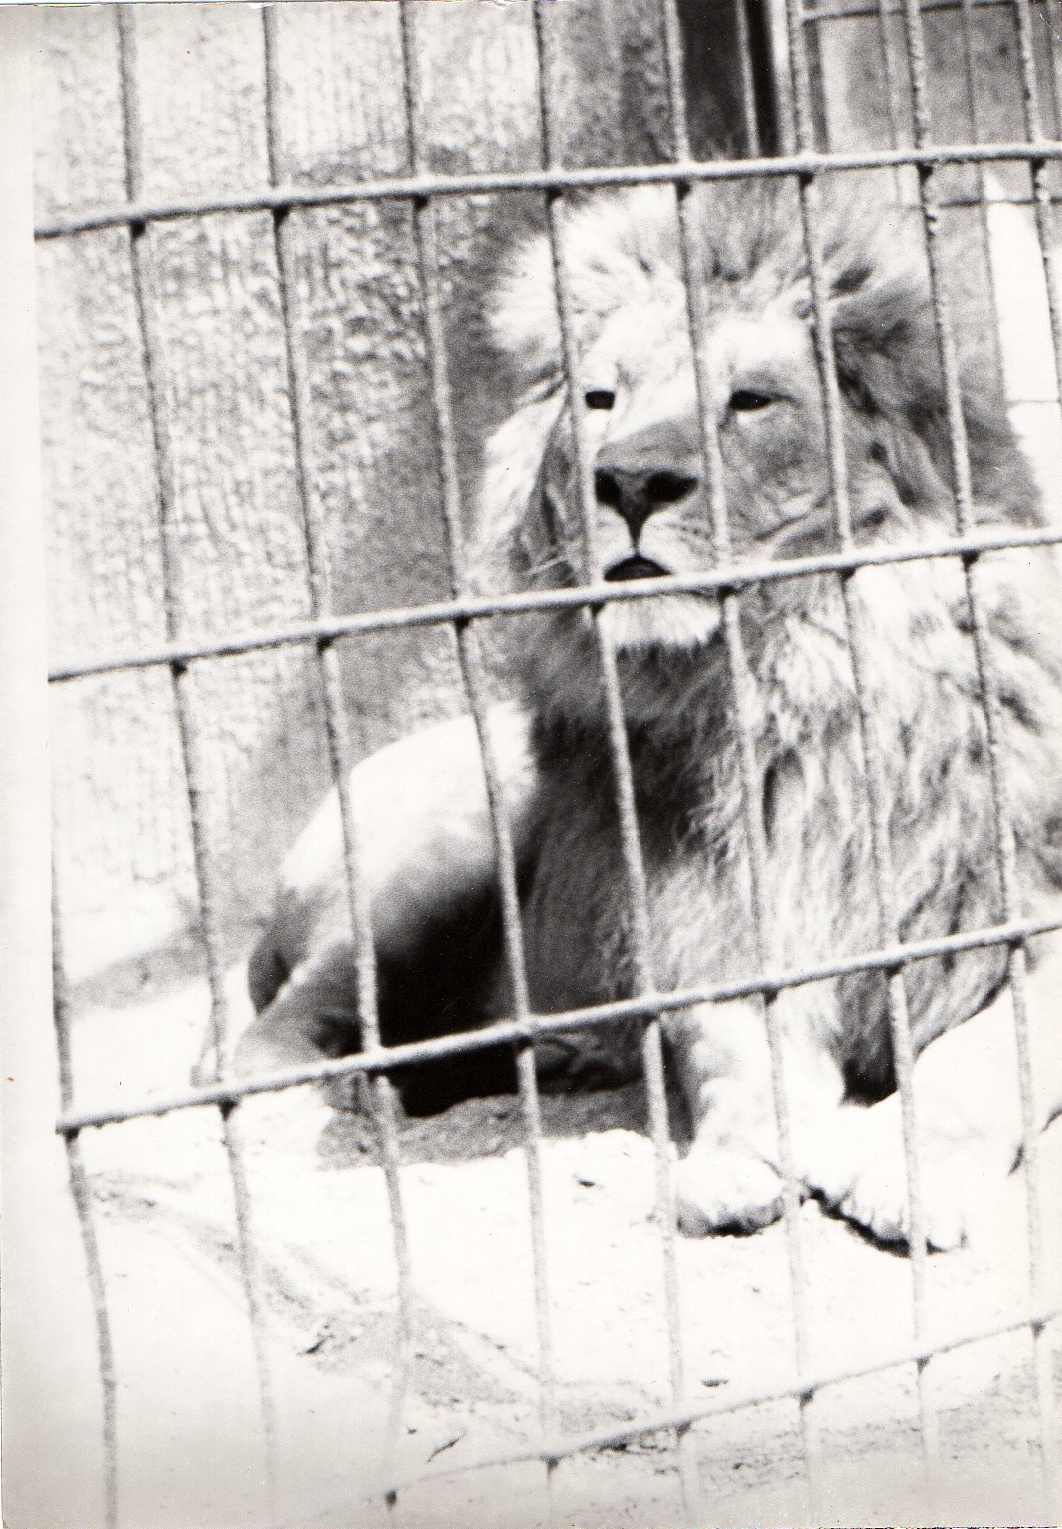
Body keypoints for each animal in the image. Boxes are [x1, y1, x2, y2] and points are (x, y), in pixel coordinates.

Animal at [237, 181, 1062, 1250]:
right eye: (602, 400)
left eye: (751, 401)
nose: (629, 481)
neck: (788, 678)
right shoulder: (710, 922)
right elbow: (740, 1059)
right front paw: (735, 1161)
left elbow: (986, 1061)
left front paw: (905, 1171)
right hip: (443, 854)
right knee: (279, 1023)